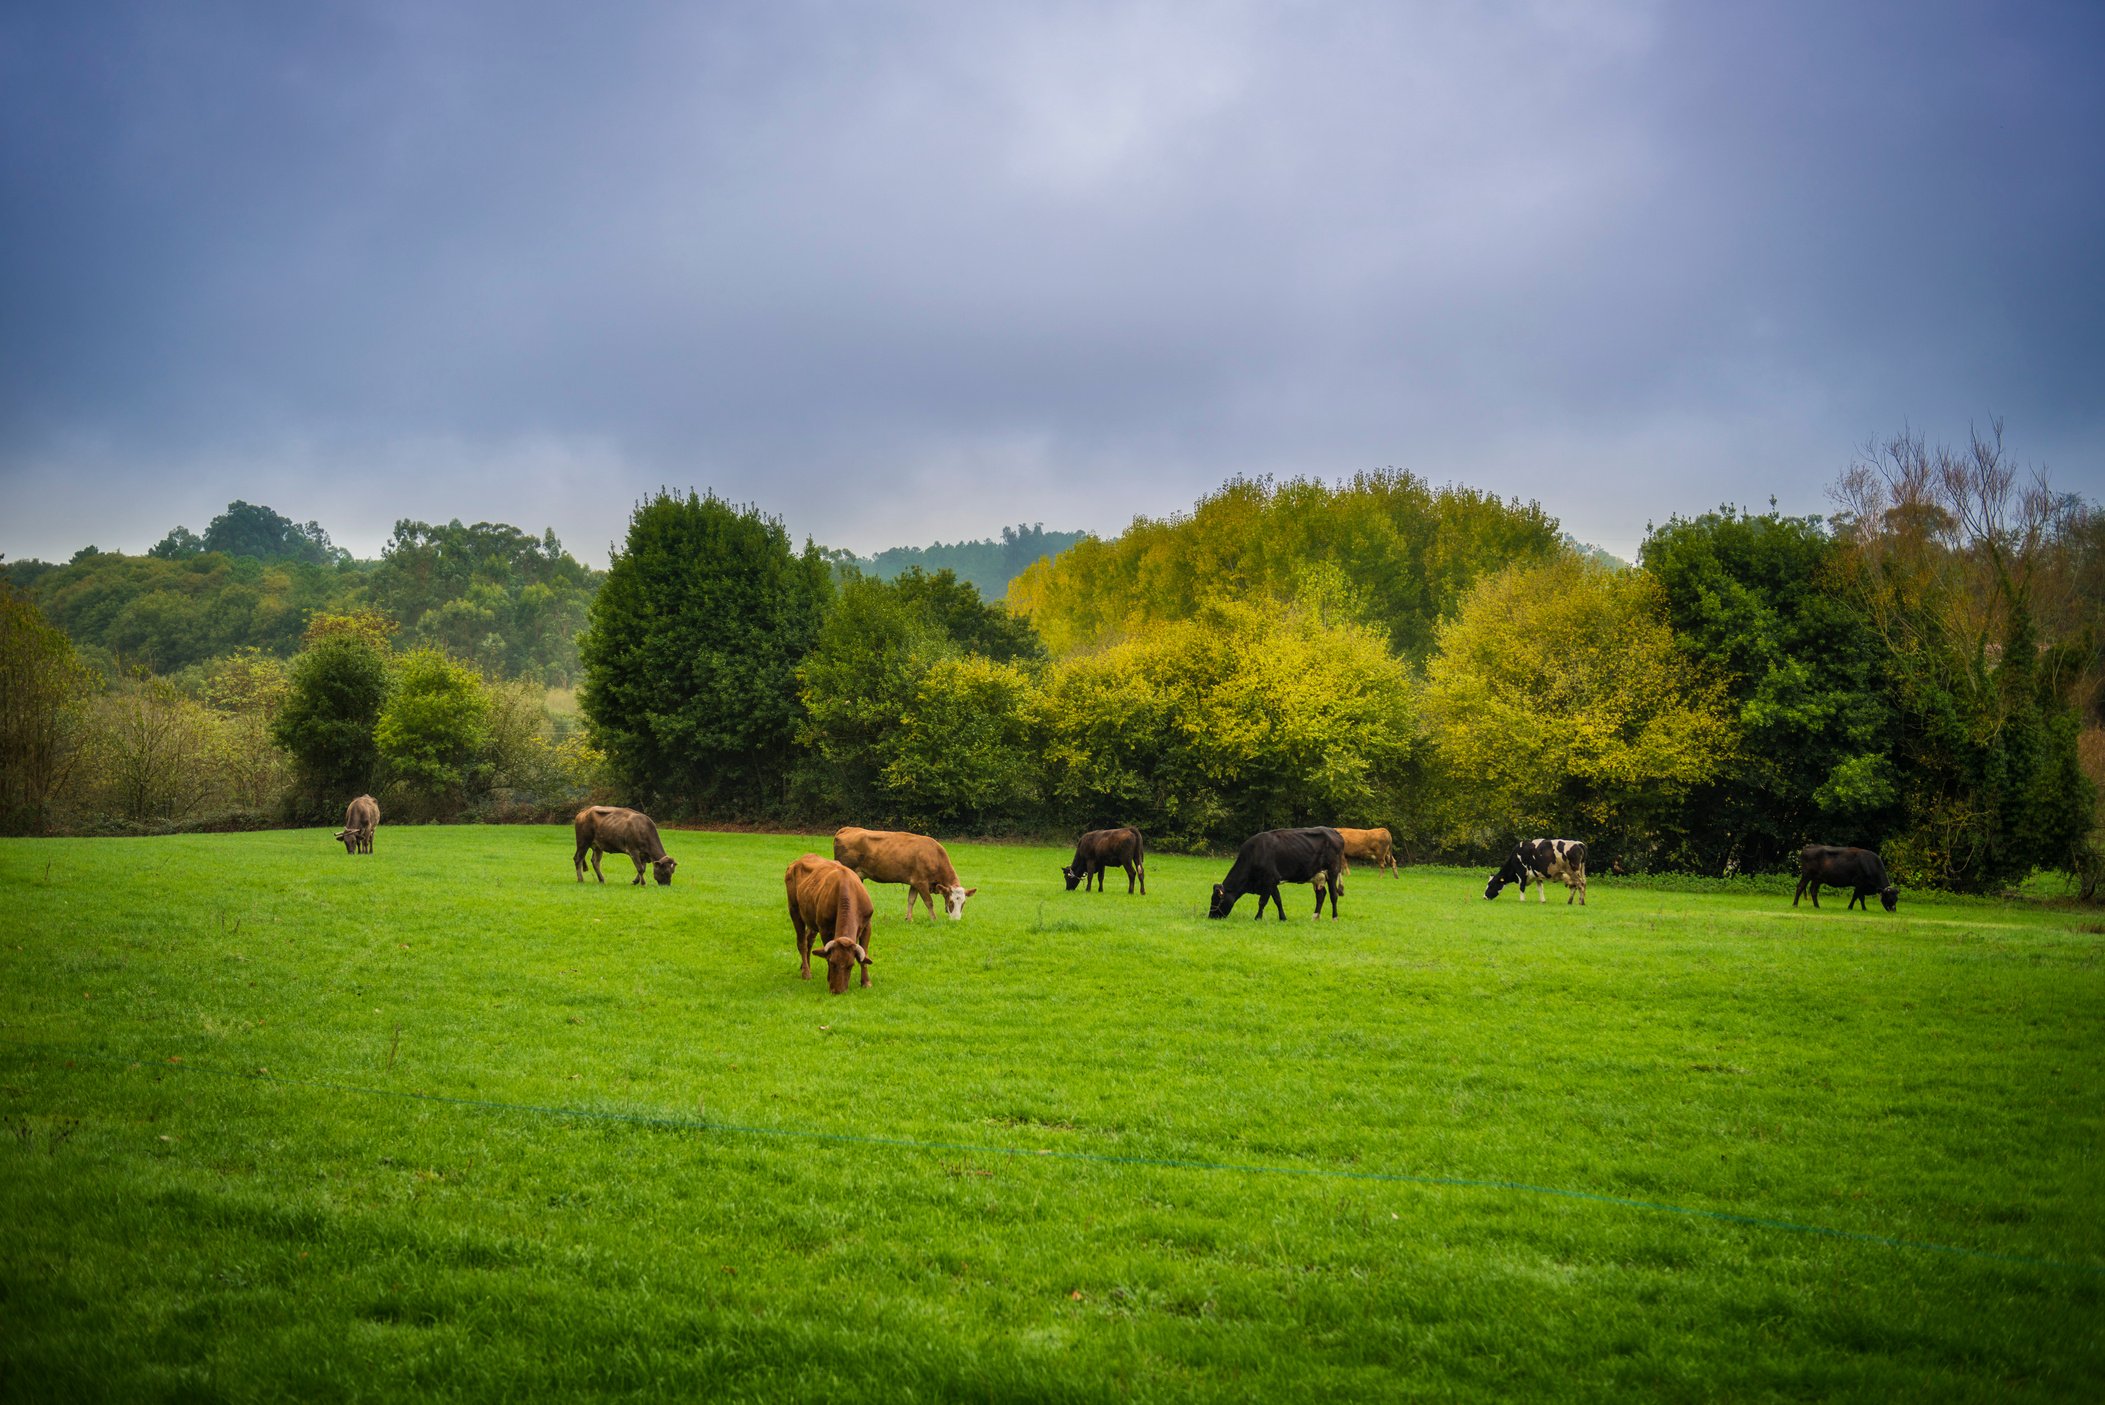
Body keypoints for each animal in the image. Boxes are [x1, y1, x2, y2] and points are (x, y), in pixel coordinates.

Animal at [791, 851, 884, 994]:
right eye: (832, 962)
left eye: (850, 965)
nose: (838, 991)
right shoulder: (824, 928)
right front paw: (829, 979)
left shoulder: (867, 925)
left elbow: (864, 955)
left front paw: (866, 982)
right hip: (794, 910)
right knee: (802, 942)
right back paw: (806, 973)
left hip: (812, 920)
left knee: (809, 940)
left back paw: (805, 966)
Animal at [829, 825, 976, 922]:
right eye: (951, 902)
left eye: (963, 903)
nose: (956, 920)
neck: (934, 856)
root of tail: (848, 828)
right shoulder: (921, 882)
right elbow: (929, 902)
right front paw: (934, 919)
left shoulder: (915, 882)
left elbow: (911, 900)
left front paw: (908, 919)